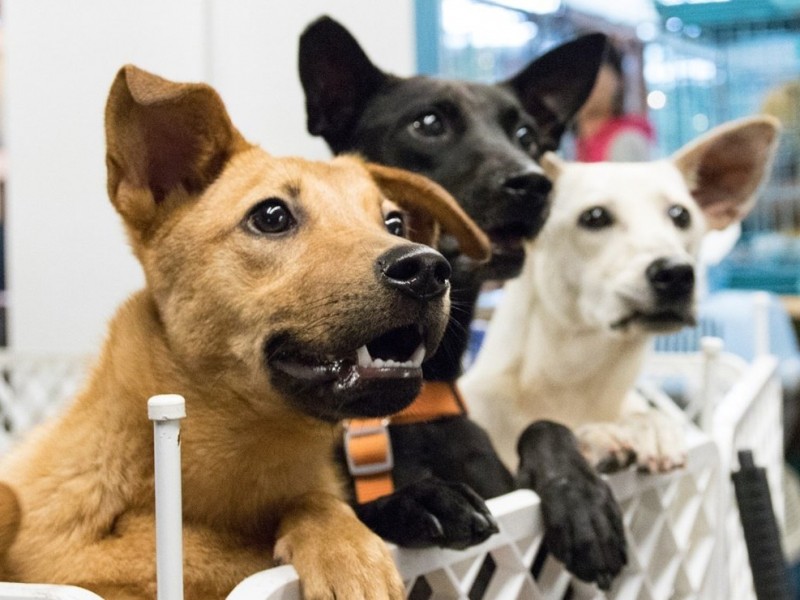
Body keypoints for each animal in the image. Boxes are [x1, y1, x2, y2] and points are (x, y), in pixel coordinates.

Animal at [298, 16, 624, 588]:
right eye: (428, 123)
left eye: (526, 136)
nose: (533, 184)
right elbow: (351, 514)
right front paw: (418, 499)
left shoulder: (526, 558)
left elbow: (544, 425)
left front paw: (583, 498)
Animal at [462, 116, 780, 474]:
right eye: (594, 216)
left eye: (681, 215)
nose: (676, 273)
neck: (576, 381)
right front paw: (595, 436)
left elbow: (644, 415)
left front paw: (649, 427)